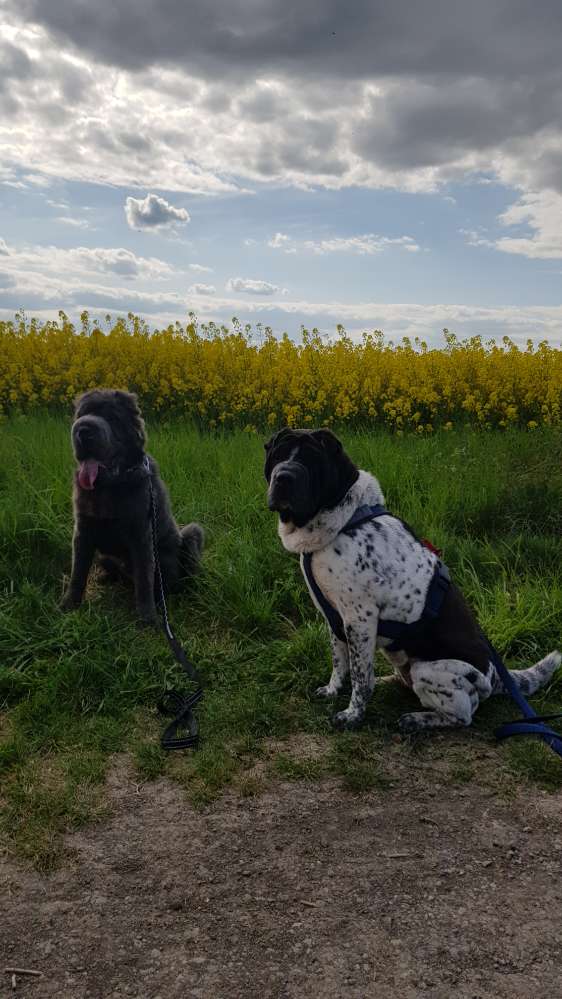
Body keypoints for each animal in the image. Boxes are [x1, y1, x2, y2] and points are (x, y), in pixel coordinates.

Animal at [60, 388, 203, 624]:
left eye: (111, 416)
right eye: (81, 414)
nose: (83, 430)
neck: (109, 485)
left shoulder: (141, 535)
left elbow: (144, 578)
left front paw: (148, 617)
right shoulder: (82, 531)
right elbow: (77, 571)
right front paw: (69, 603)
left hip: (192, 533)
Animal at [264, 430, 560, 736]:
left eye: (312, 460)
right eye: (278, 454)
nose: (283, 477)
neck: (343, 521)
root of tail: (495, 676)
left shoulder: (359, 619)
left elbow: (359, 677)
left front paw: (352, 715)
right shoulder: (334, 618)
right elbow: (340, 661)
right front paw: (333, 689)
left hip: (429, 671)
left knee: (463, 714)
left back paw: (417, 719)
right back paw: (387, 681)